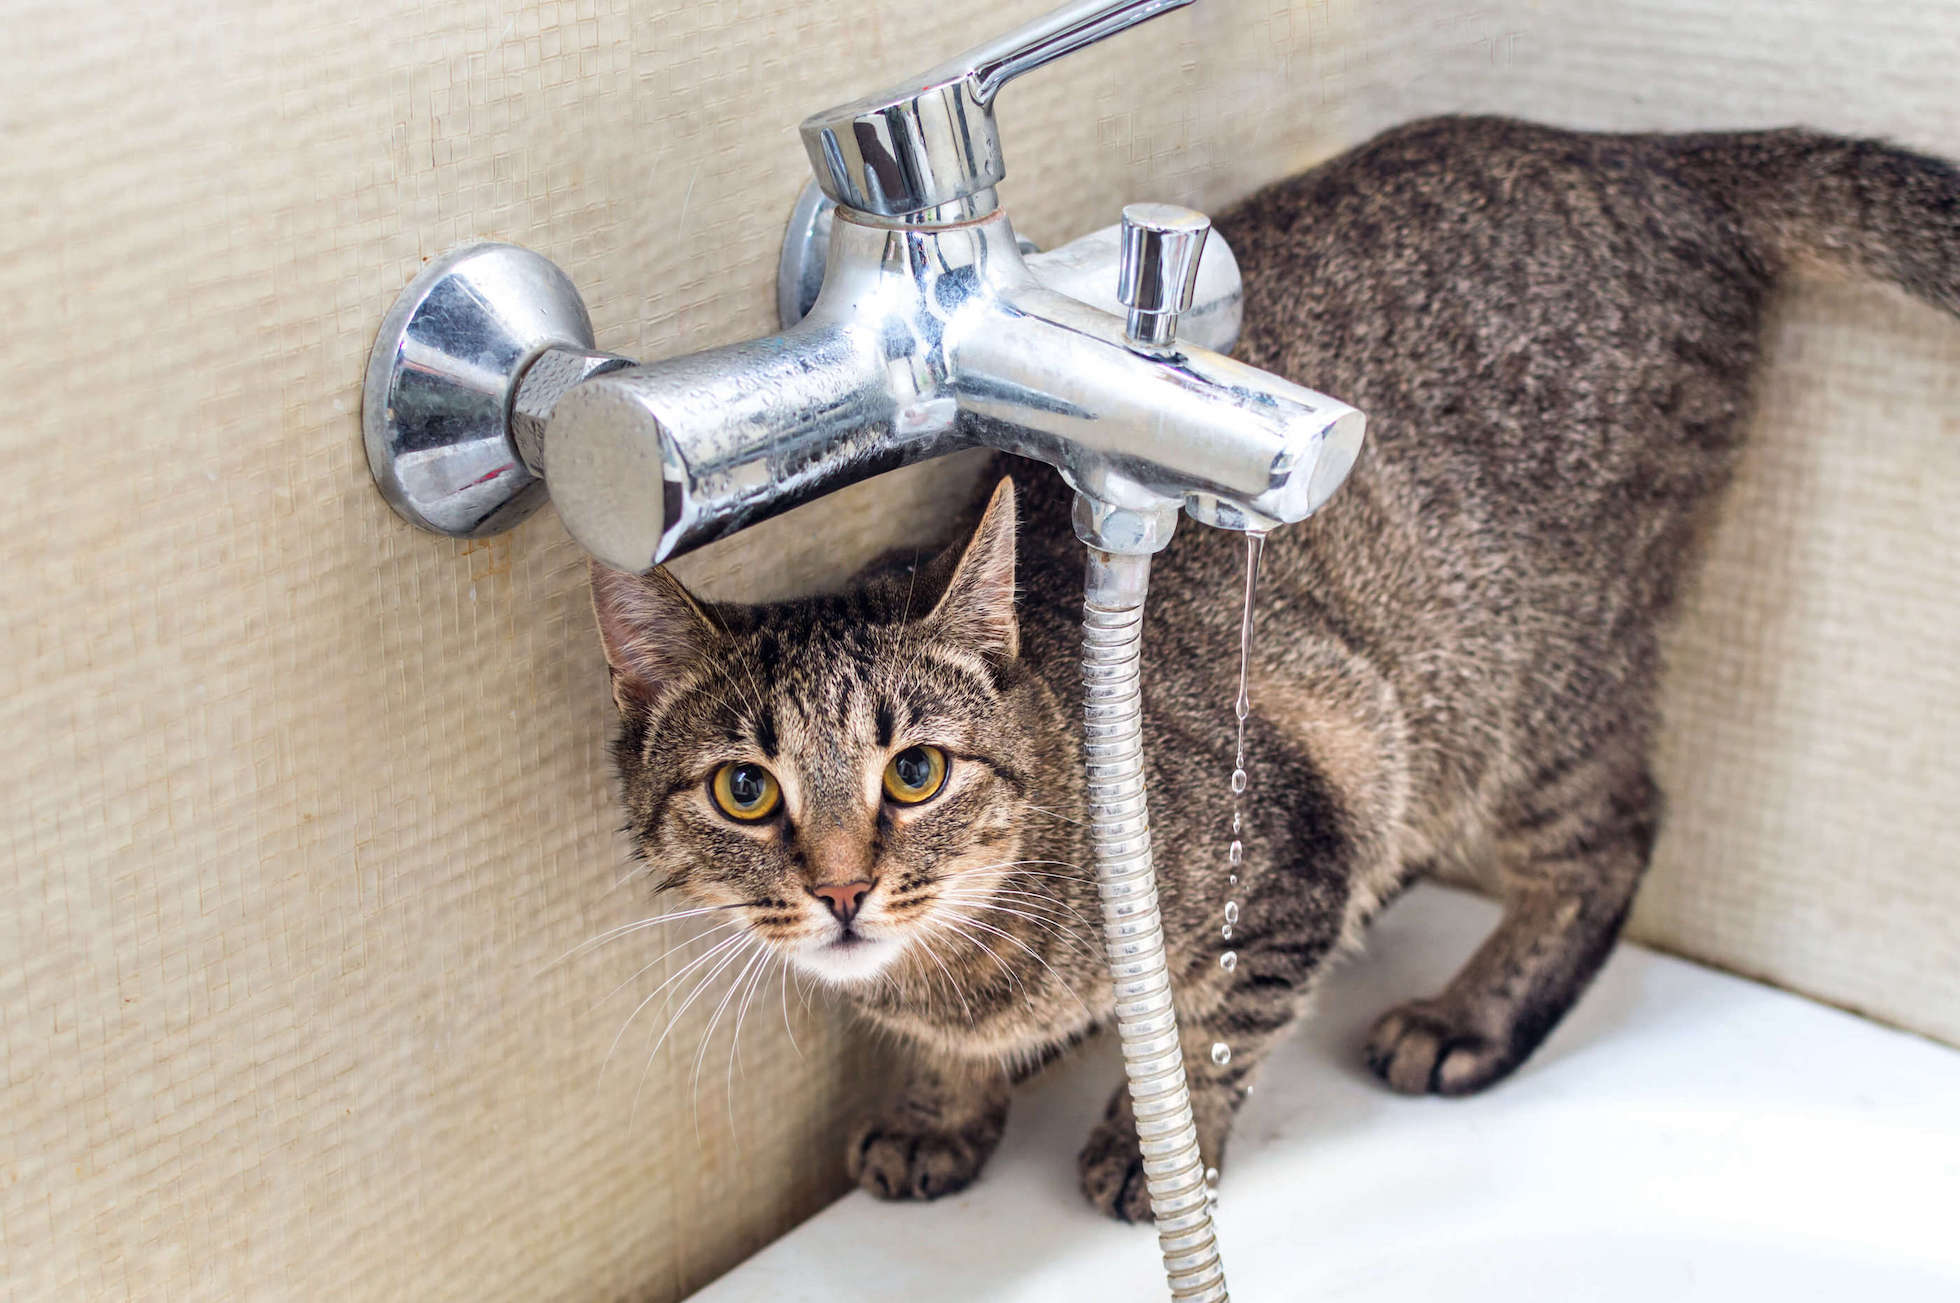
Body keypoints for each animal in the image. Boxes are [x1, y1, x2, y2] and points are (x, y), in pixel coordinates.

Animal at [584, 114, 1960, 1222]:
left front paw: (1157, 1153)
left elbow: (1217, 1034)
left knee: (1614, 834)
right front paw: (940, 1111)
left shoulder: (1308, 813)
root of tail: (1648, 153)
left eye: (915, 772)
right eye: (745, 791)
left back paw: (1470, 1018)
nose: (842, 890)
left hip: (1527, 691)